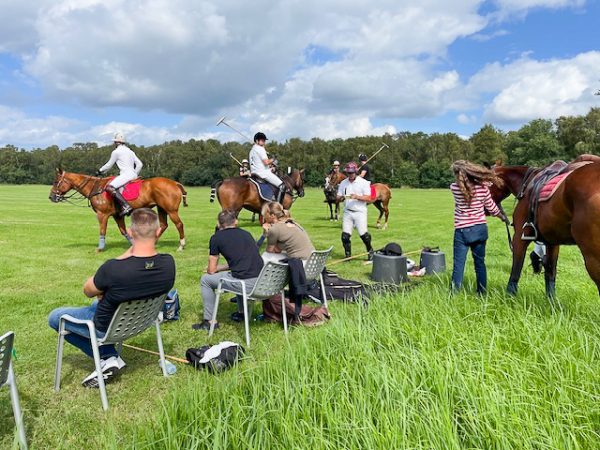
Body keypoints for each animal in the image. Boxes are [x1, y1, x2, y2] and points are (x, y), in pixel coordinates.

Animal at [49, 170, 188, 253]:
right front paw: (133, 245)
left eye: (56, 181)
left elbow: (102, 230)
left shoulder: (102, 215)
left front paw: (100, 248)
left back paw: (181, 246)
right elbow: (123, 231)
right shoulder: (117, 215)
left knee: (179, 224)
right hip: (161, 208)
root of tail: (175, 183)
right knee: (164, 225)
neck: (95, 188)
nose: (51, 197)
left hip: (171, 210)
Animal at [490, 155, 600, 298]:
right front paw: (551, 301)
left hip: (592, 255)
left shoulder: (519, 237)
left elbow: (516, 270)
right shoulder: (552, 242)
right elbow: (550, 273)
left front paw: (510, 297)